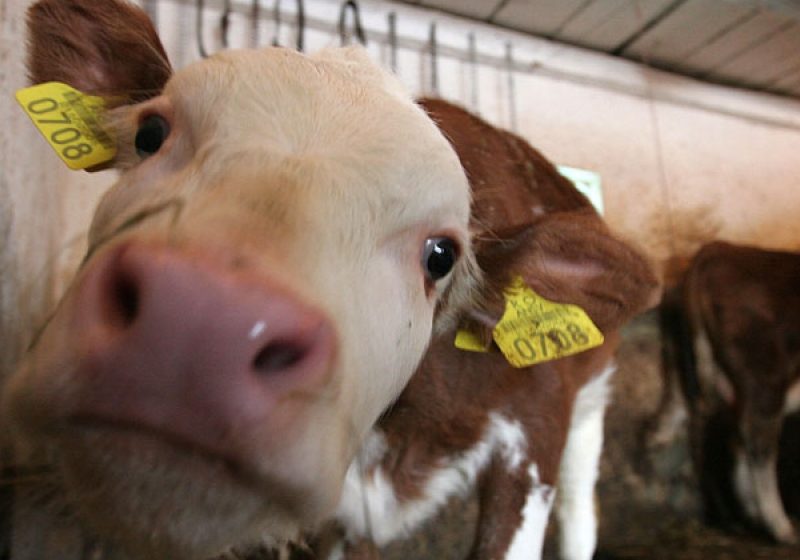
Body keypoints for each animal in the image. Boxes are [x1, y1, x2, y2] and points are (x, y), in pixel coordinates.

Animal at [1, 1, 659, 559]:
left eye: (441, 255)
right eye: (149, 135)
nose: (199, 321)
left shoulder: (534, 434)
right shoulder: (345, 510)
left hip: (589, 402)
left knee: (580, 511)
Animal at [652, 240, 800, 544]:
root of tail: (719, 249)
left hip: (688, 371)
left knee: (679, 425)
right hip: (765, 378)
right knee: (757, 443)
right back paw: (779, 526)